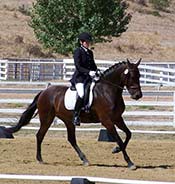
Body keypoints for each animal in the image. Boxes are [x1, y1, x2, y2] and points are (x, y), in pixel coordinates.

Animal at [5, 58, 142, 170]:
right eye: (131, 76)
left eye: (139, 75)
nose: (138, 95)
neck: (108, 90)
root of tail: (44, 92)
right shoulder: (107, 120)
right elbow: (119, 139)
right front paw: (129, 163)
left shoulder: (117, 118)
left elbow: (128, 134)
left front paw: (116, 149)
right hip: (47, 118)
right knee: (39, 135)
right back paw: (40, 159)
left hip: (68, 120)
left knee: (71, 139)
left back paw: (84, 159)